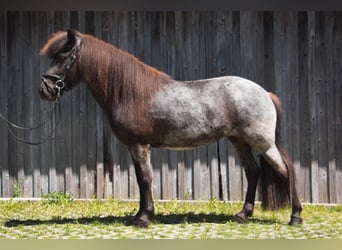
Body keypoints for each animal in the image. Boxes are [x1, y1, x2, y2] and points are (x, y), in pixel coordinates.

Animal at [38, 28, 304, 227]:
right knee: (253, 172)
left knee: (286, 170)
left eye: (63, 56)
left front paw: (144, 218)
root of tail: (265, 93)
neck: (130, 93)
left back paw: (295, 217)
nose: (44, 90)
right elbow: (140, 179)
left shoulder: (140, 146)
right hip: (239, 141)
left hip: (263, 142)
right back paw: (242, 215)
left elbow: (145, 179)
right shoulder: (134, 147)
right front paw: (141, 214)